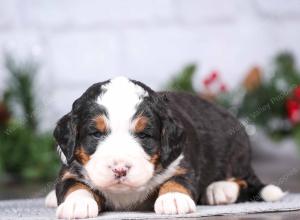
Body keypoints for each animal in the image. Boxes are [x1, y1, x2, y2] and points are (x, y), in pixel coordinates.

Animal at [45, 77, 286, 218]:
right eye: (96, 134)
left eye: (144, 135)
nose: (120, 169)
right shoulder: (69, 169)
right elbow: (73, 186)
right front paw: (77, 204)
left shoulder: (183, 164)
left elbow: (177, 180)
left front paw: (174, 199)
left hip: (236, 154)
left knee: (245, 181)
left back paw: (219, 190)